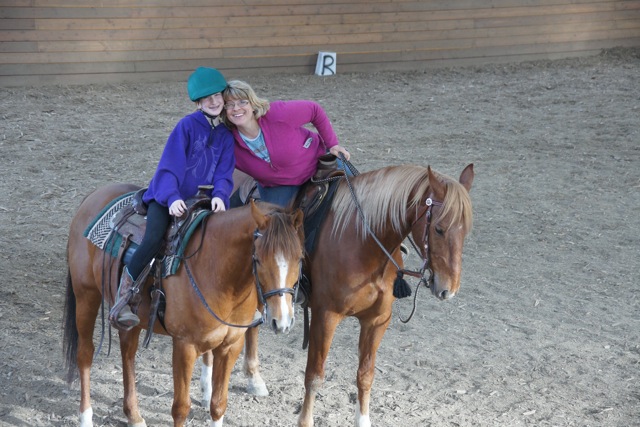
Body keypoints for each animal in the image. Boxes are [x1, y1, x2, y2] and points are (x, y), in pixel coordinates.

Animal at [62, 184, 304, 427]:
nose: (282, 319)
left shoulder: (230, 346)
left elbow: (218, 404)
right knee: (85, 354)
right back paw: (86, 417)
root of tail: (93, 196)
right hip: (86, 296)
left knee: (127, 353)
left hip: (132, 318)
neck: (215, 269)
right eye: (259, 259)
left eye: (300, 258)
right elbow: (180, 408)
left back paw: (134, 416)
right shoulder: (184, 346)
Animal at [215, 165, 476, 427]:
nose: (448, 288)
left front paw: (363, 420)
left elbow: (365, 375)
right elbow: (314, 375)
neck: (363, 242)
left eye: (466, 230)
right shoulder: (325, 317)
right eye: (439, 229)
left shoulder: (377, 320)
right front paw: (305, 420)